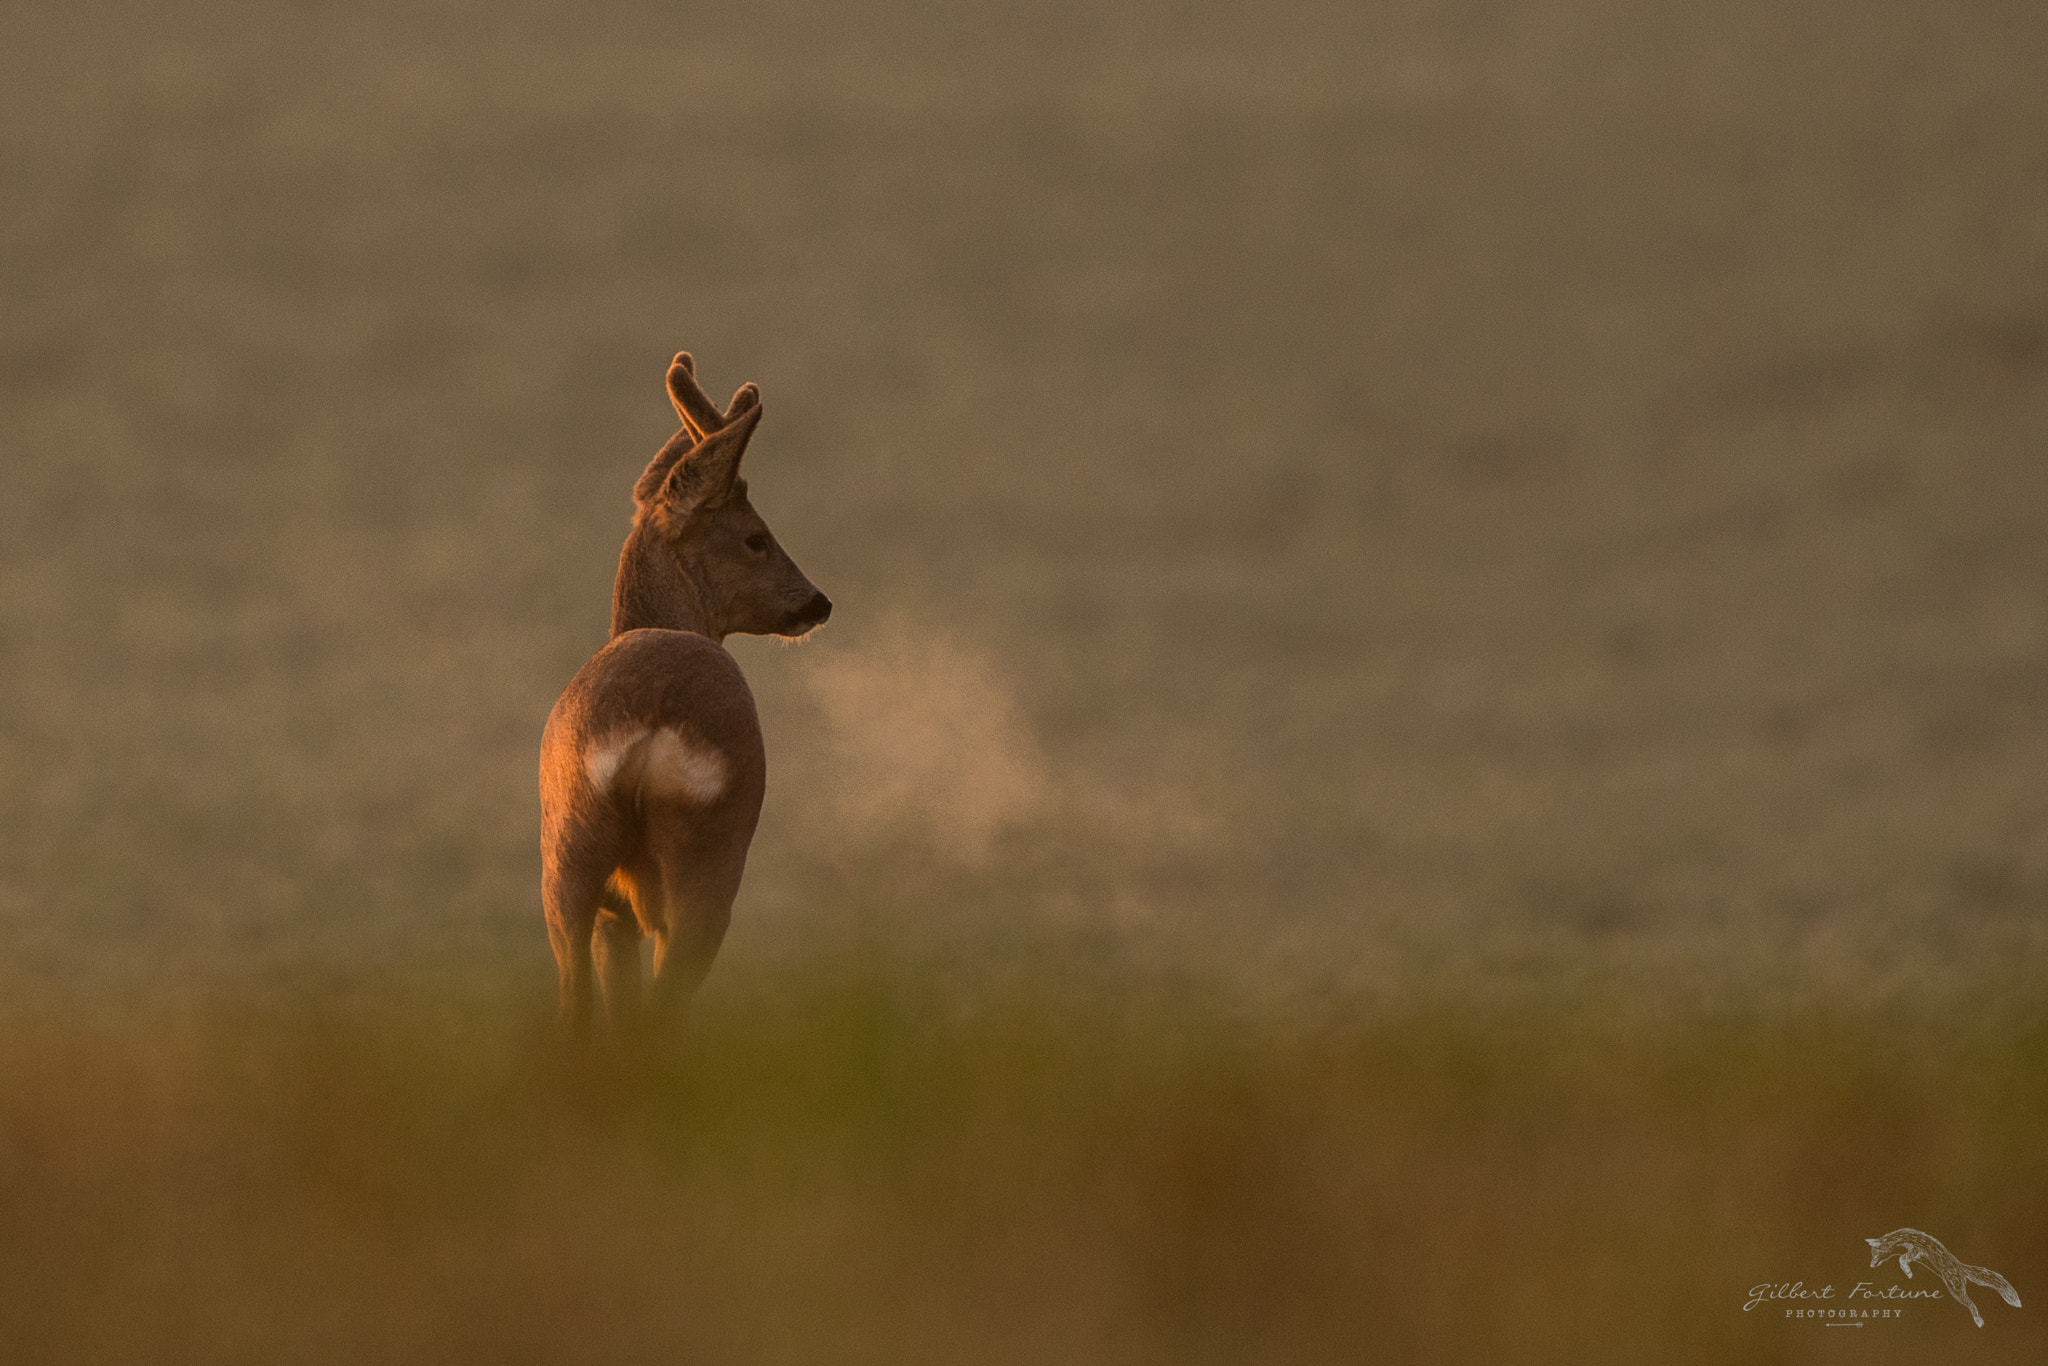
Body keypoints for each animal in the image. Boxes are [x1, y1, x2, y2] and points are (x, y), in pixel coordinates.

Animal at [548, 352, 835, 1036]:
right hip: (712, 852)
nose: (819, 602)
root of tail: (653, 724)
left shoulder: (614, 910)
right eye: (757, 536)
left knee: (579, 1004)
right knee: (661, 1003)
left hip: (570, 848)